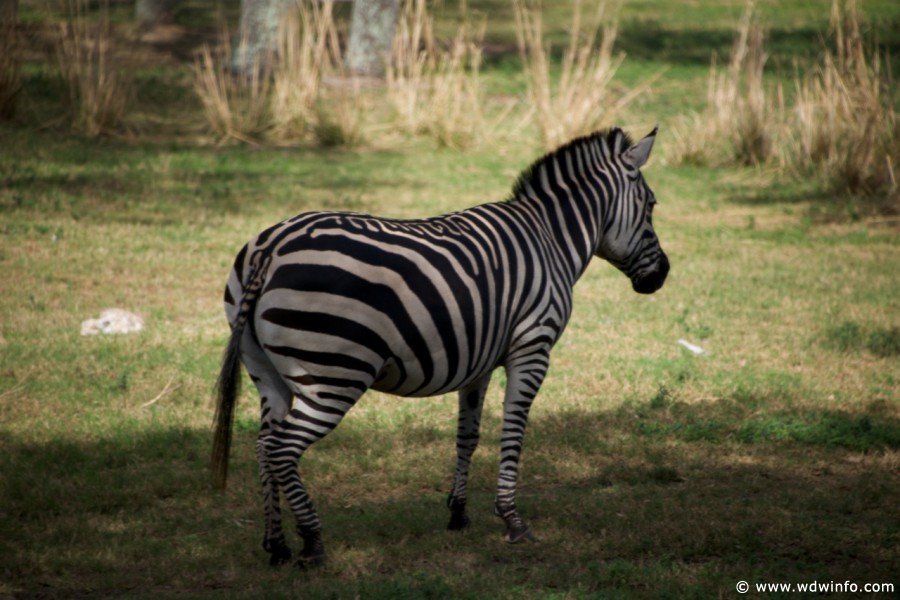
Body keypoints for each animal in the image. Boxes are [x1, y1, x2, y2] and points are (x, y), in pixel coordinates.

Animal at [213, 124, 668, 564]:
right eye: (651, 206)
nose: (662, 275)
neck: (550, 239)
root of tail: (272, 247)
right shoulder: (532, 347)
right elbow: (514, 429)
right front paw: (512, 520)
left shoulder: (479, 359)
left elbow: (468, 434)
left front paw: (458, 513)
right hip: (334, 373)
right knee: (281, 448)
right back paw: (312, 543)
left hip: (267, 371)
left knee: (262, 446)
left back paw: (276, 545)